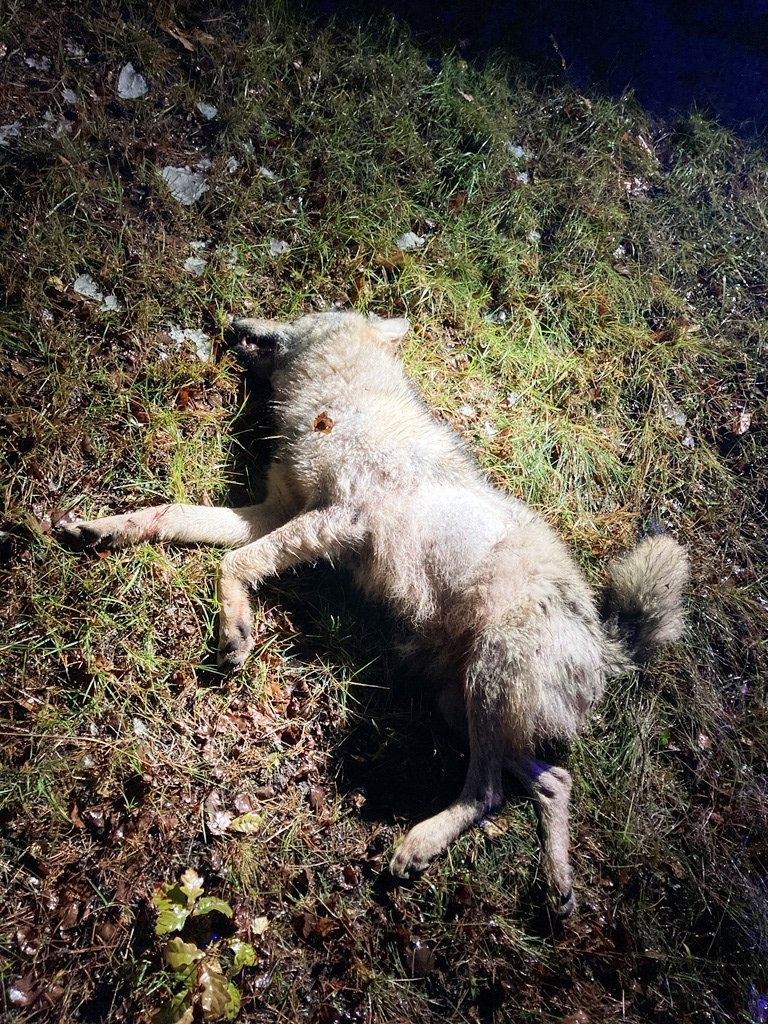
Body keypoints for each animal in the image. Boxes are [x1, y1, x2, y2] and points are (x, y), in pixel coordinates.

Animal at [56, 311, 688, 914]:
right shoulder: (272, 512)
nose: (233, 324)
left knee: (488, 793)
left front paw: (235, 632)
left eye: (301, 317)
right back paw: (559, 887)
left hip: (486, 682)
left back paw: (421, 844)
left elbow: (233, 563)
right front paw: (104, 529)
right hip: (462, 704)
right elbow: (176, 516)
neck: (340, 402)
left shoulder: (332, 520)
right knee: (554, 780)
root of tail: (607, 646)